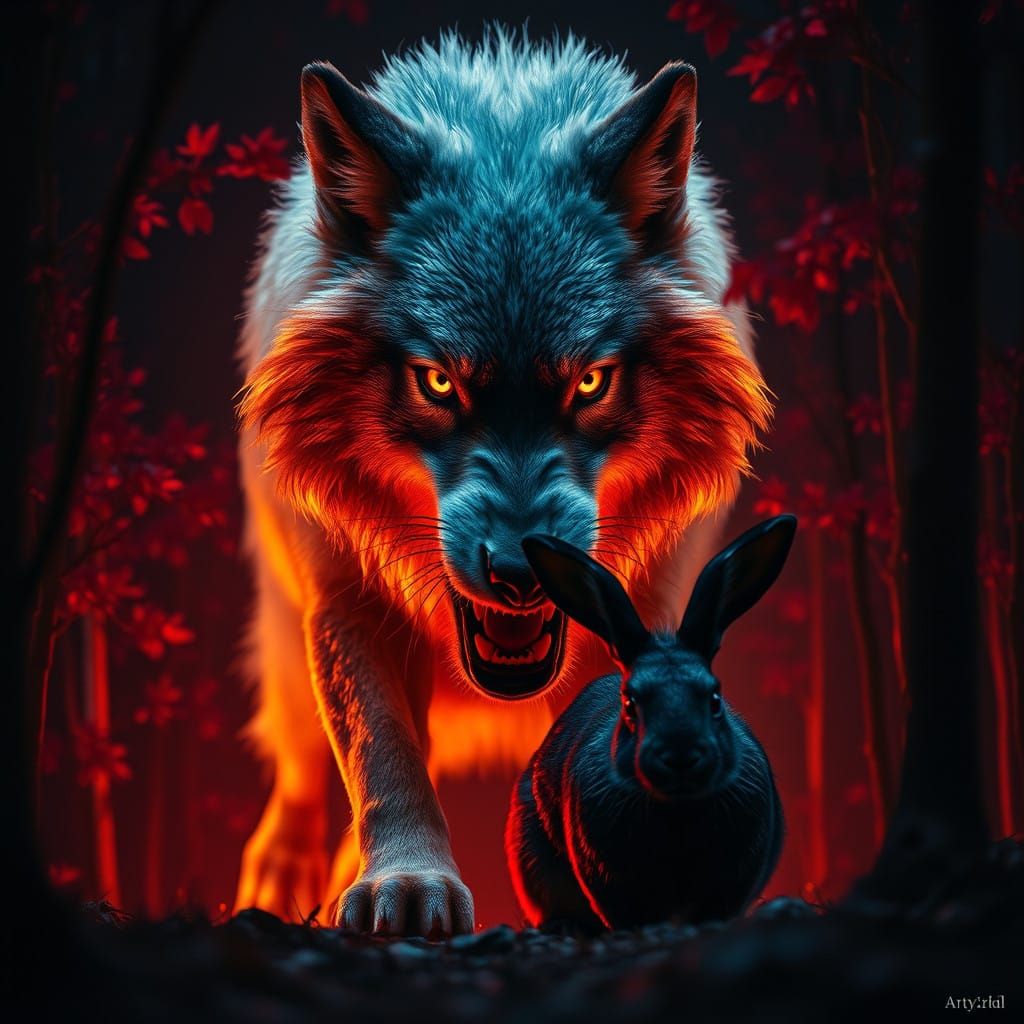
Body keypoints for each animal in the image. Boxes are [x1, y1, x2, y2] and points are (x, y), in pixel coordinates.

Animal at [234, 30, 770, 937]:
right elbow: (384, 758)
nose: (520, 572)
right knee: (307, 770)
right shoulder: (346, 599)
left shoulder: (640, 610)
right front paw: (405, 883)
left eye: (589, 382)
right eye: (438, 383)